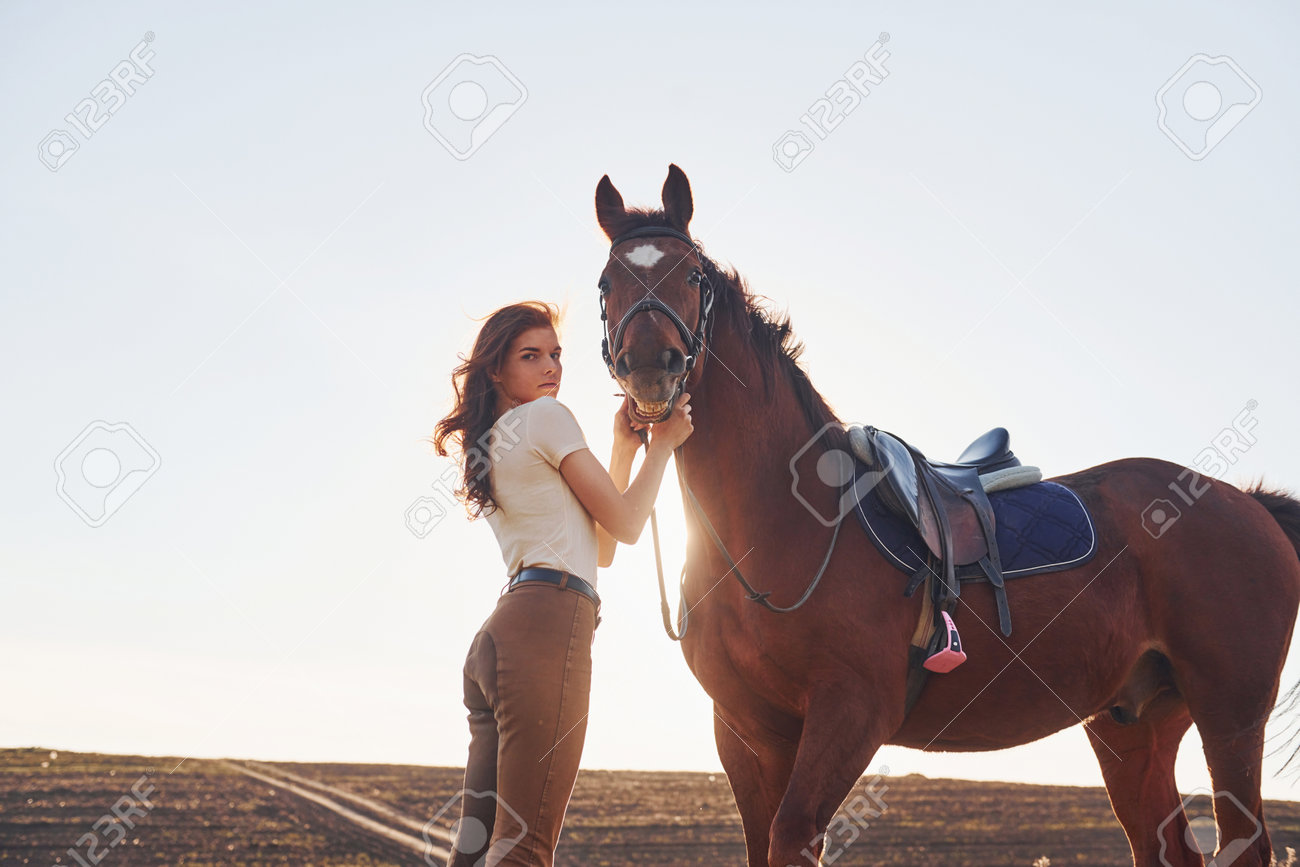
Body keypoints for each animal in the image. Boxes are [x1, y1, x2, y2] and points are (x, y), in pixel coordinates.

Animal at [595, 164, 1300, 867]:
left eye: (693, 276)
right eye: (607, 282)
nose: (652, 368)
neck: (785, 529)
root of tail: (1246, 502)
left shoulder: (851, 713)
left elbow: (792, 835)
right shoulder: (747, 733)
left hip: (1230, 718)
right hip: (1133, 724)